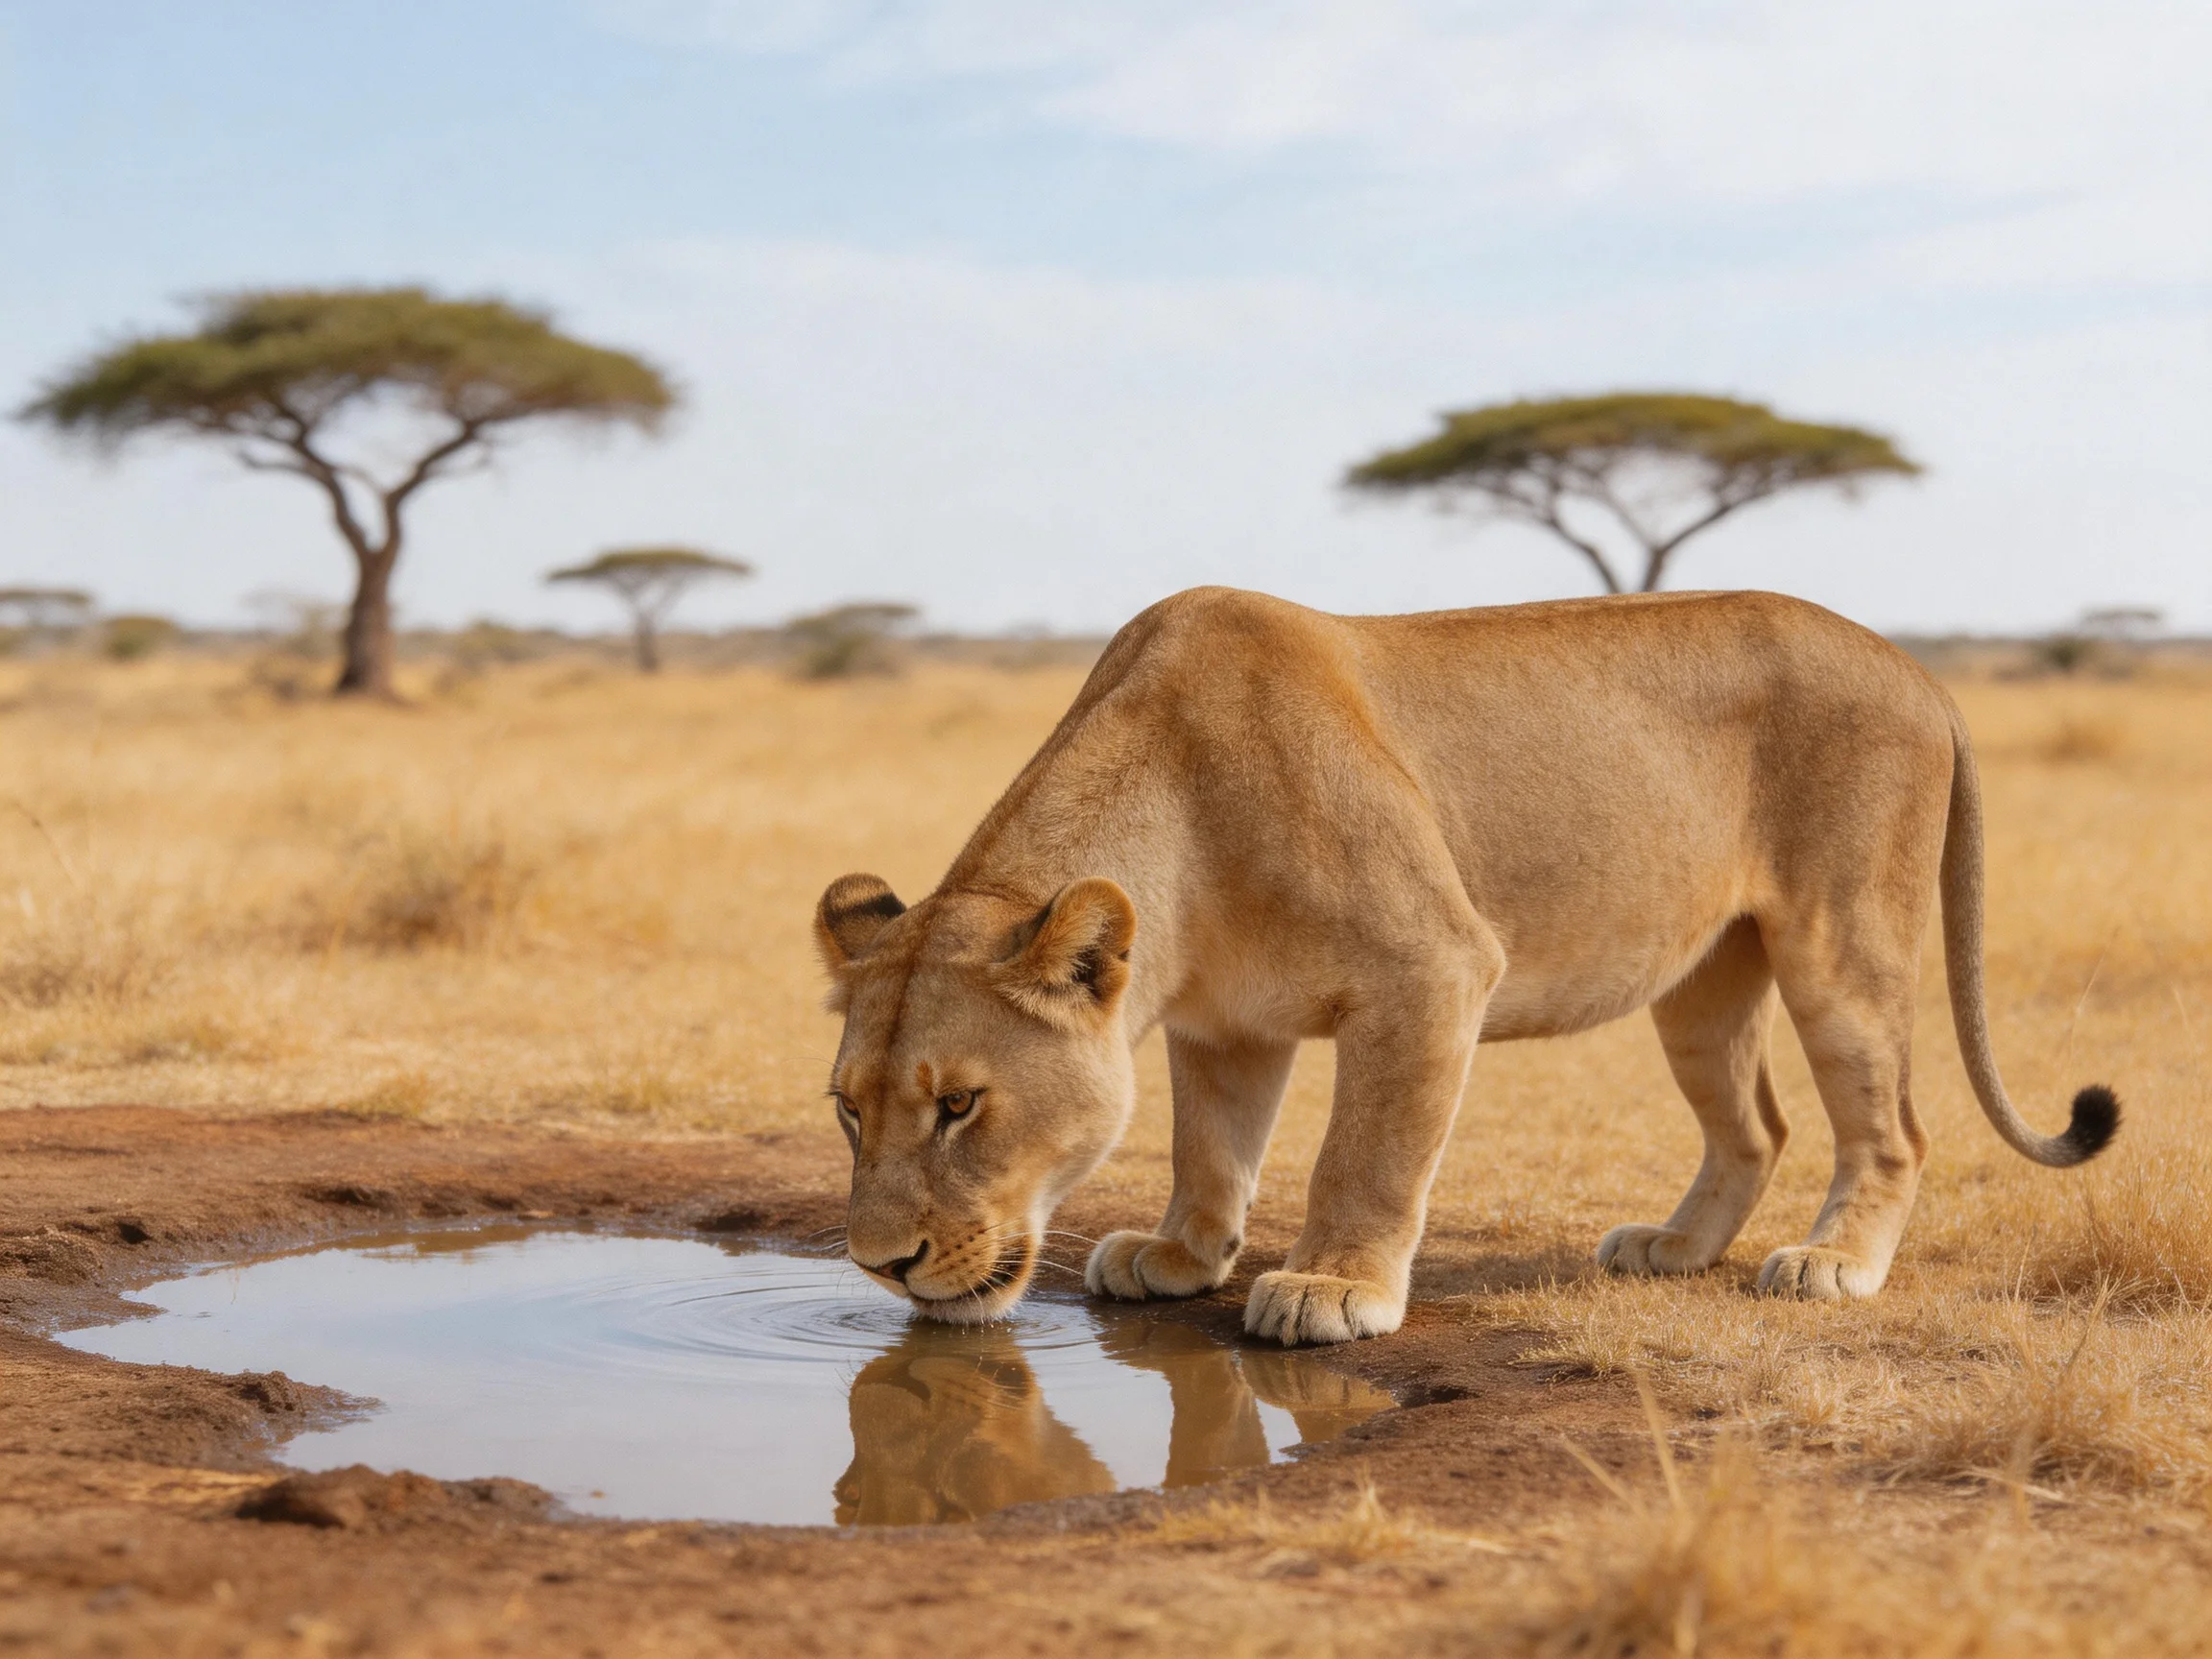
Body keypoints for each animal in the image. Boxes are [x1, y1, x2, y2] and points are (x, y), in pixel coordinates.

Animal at [813, 587, 2117, 1346]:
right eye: (848, 1113)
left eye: (960, 1106)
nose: (881, 1266)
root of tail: (1919, 668)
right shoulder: (1225, 1024)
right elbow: (1210, 1146)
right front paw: (1182, 1257)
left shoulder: (1432, 969)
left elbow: (1366, 1154)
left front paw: (1332, 1288)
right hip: (1703, 977)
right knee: (1756, 1124)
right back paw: (1675, 1249)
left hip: (1839, 942)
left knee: (1892, 1127)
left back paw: (1832, 1264)